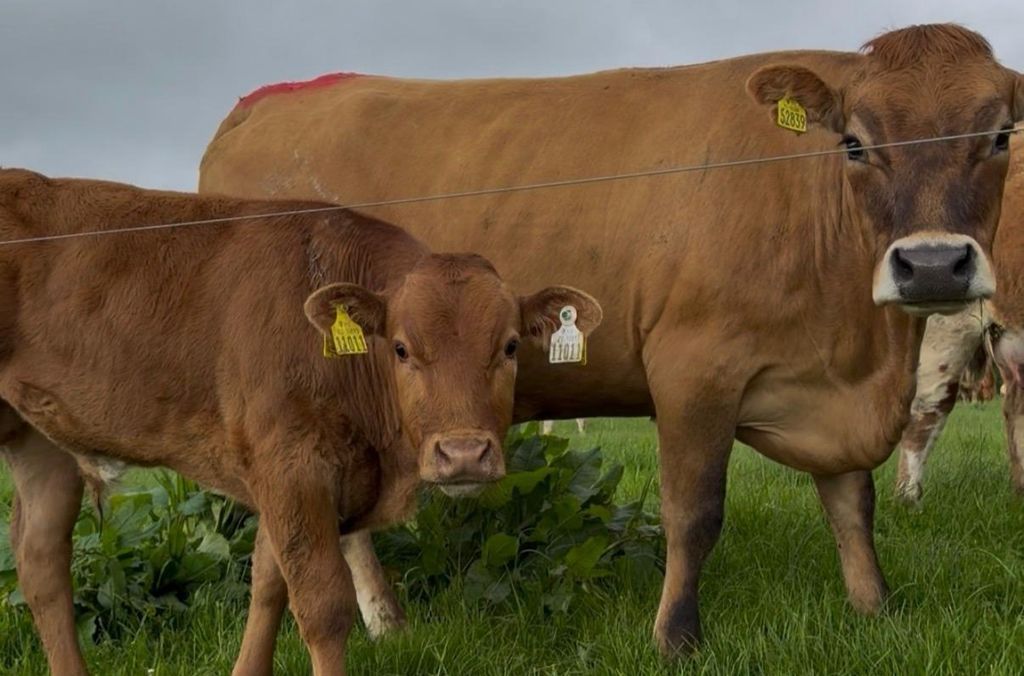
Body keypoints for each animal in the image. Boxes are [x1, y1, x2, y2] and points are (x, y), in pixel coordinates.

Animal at [0, 168, 602, 676]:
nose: (463, 454)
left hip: (38, 439)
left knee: (40, 561)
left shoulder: (280, 475)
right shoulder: (293, 465)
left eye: (510, 346)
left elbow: (269, 583)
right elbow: (321, 605)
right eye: (402, 348)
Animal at [200, 24, 1024, 655]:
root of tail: (262, 103)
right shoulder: (693, 369)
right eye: (854, 142)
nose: (931, 264)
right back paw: (383, 620)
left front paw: (873, 608)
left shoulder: (835, 385)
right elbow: (693, 513)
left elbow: (852, 504)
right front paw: (675, 637)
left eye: (1000, 135)